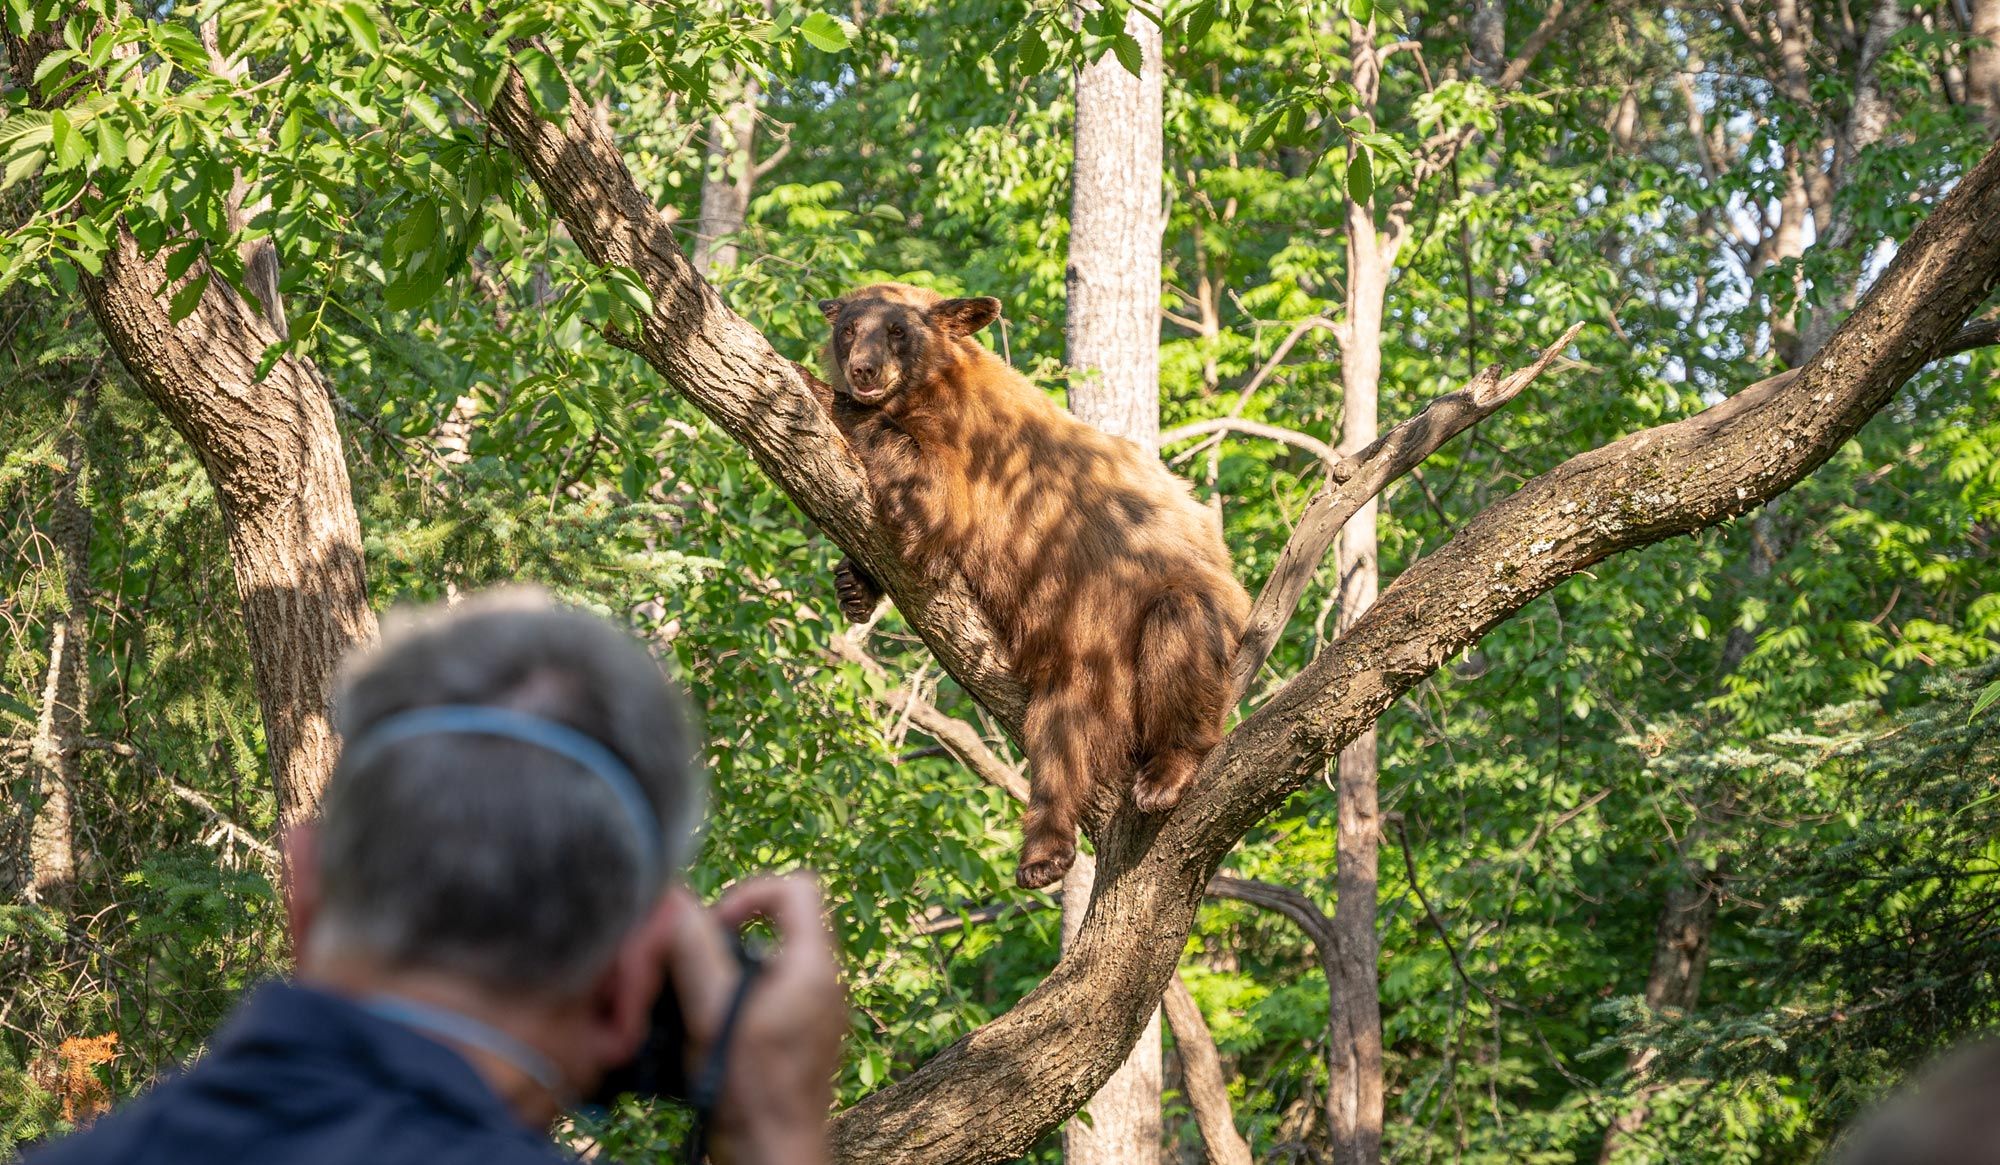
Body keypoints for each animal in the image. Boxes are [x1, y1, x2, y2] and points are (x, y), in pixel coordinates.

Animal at [816, 282, 1251, 890]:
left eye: (898, 330)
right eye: (850, 328)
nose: (863, 370)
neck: (926, 391)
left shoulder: (972, 449)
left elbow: (931, 499)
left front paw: (832, 398)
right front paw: (854, 585)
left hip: (1168, 612)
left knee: (1180, 637)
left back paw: (1166, 773)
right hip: (1078, 660)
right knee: (1056, 746)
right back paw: (1044, 855)